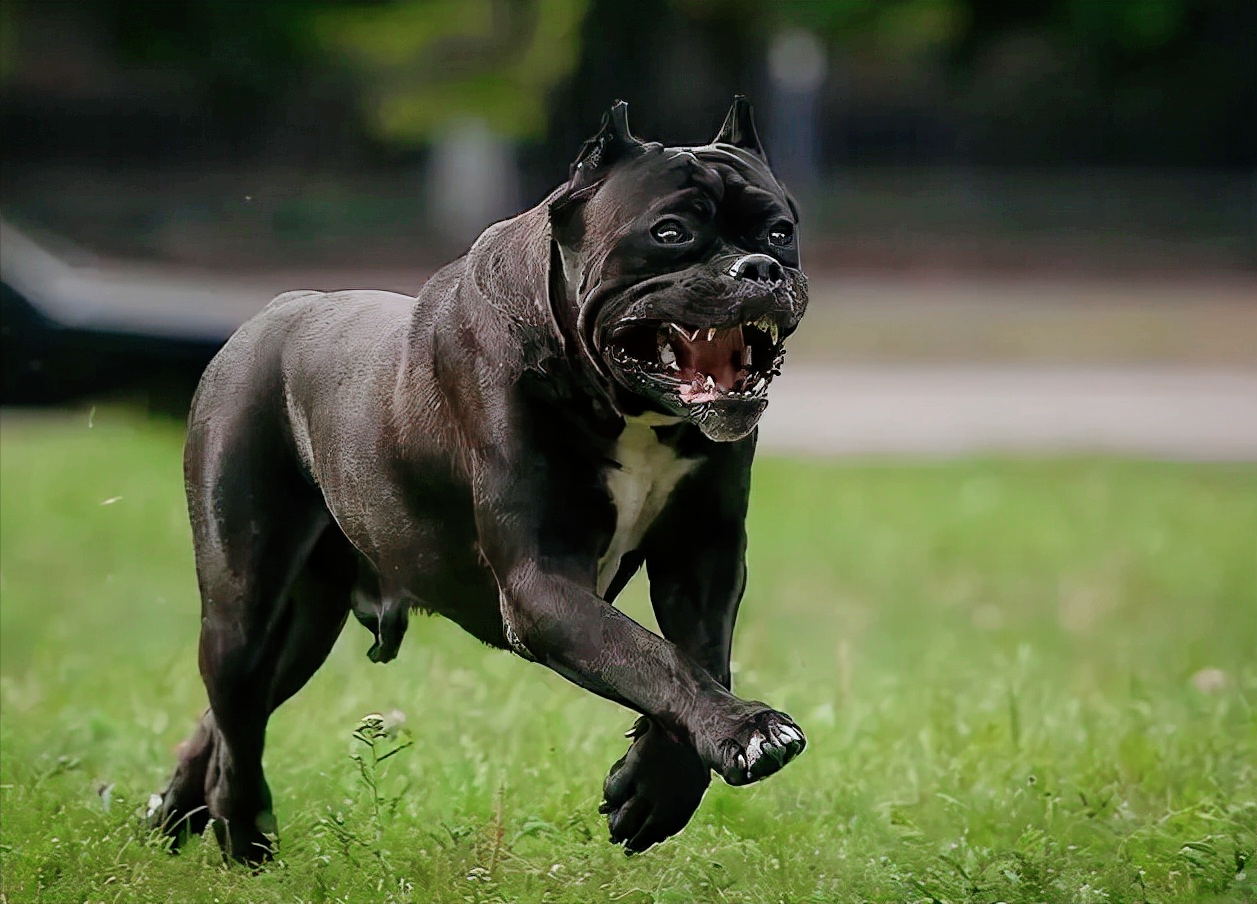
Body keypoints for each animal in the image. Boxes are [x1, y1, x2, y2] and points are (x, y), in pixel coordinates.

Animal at [149, 97, 814, 865]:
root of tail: (268, 312)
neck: (625, 405)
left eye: (780, 230)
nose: (759, 265)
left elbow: (699, 653)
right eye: (670, 232)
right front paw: (746, 732)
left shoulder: (703, 554)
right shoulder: (542, 583)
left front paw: (656, 788)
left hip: (302, 629)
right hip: (243, 599)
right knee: (237, 714)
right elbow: (652, 658)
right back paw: (243, 832)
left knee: (230, 715)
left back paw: (173, 810)